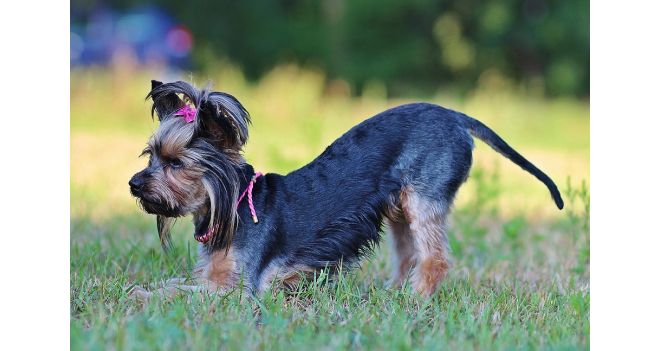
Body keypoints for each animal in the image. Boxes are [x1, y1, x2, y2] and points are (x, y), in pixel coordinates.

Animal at [127, 80, 564, 300]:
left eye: (176, 163)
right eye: (150, 156)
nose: (133, 183)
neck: (230, 204)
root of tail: (455, 115)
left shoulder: (239, 288)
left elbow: (180, 292)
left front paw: (141, 297)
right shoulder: (216, 275)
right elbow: (173, 284)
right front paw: (144, 290)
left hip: (424, 198)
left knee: (434, 260)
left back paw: (414, 302)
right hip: (399, 205)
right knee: (408, 256)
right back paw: (393, 295)